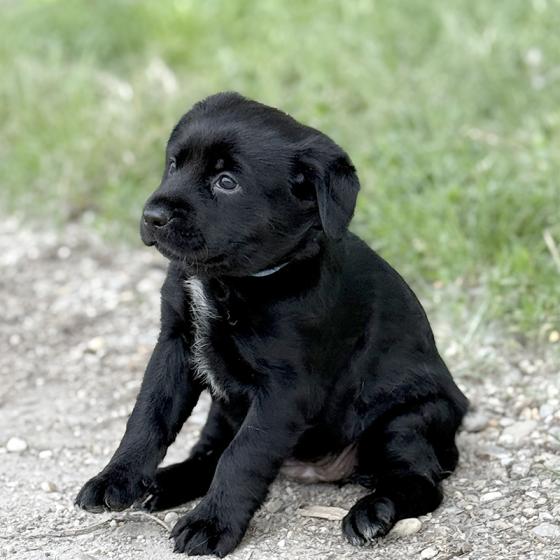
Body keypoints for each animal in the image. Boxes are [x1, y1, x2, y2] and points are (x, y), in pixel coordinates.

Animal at [76, 92, 468, 556]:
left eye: (227, 182)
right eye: (174, 164)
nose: (152, 216)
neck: (229, 281)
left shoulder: (285, 389)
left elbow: (243, 456)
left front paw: (211, 524)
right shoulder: (174, 345)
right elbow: (148, 416)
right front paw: (116, 479)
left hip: (405, 421)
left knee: (421, 483)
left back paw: (373, 512)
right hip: (222, 410)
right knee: (207, 454)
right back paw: (163, 483)